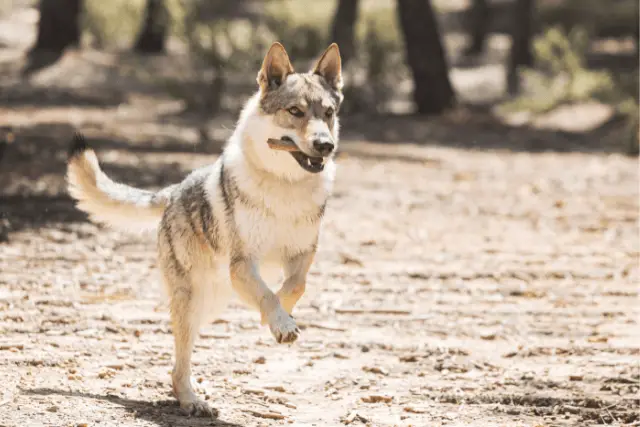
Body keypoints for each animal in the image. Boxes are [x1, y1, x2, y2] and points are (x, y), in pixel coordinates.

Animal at [66, 41, 340, 416]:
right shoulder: (243, 265)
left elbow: (293, 287)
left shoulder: (300, 255)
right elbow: (269, 294)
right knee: (178, 364)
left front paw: (276, 319)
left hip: (212, 302)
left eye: (328, 113)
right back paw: (192, 401)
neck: (285, 186)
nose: (326, 145)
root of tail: (172, 192)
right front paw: (279, 323)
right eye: (295, 111)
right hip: (193, 303)